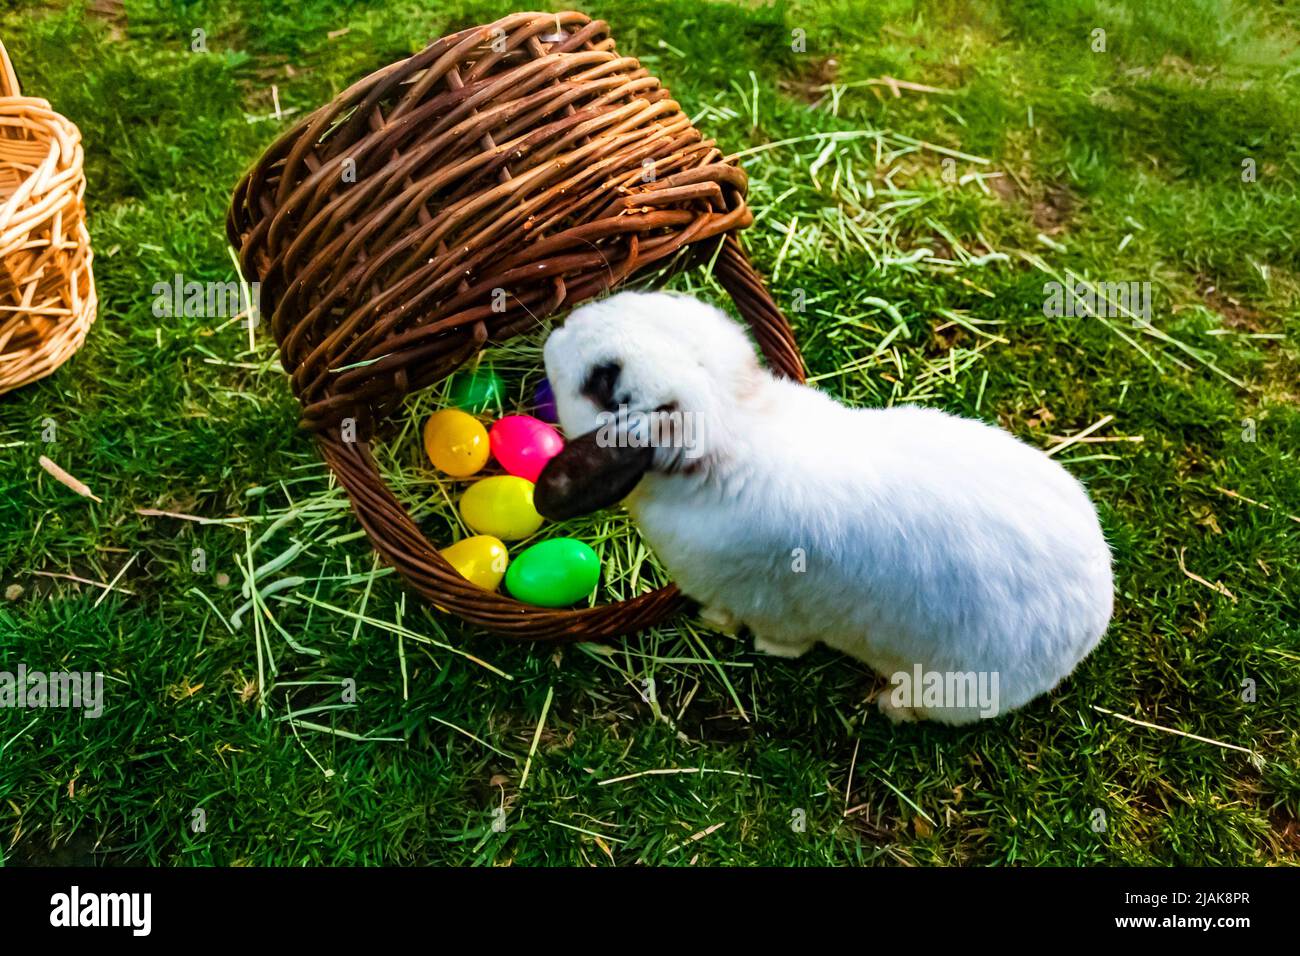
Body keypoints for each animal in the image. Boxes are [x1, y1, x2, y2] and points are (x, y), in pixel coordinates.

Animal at [535, 291, 1113, 725]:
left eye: (604, 380)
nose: (557, 332)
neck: (735, 429)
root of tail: (1092, 622)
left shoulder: (767, 604)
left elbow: (779, 638)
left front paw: (721, 628)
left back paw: (890, 706)